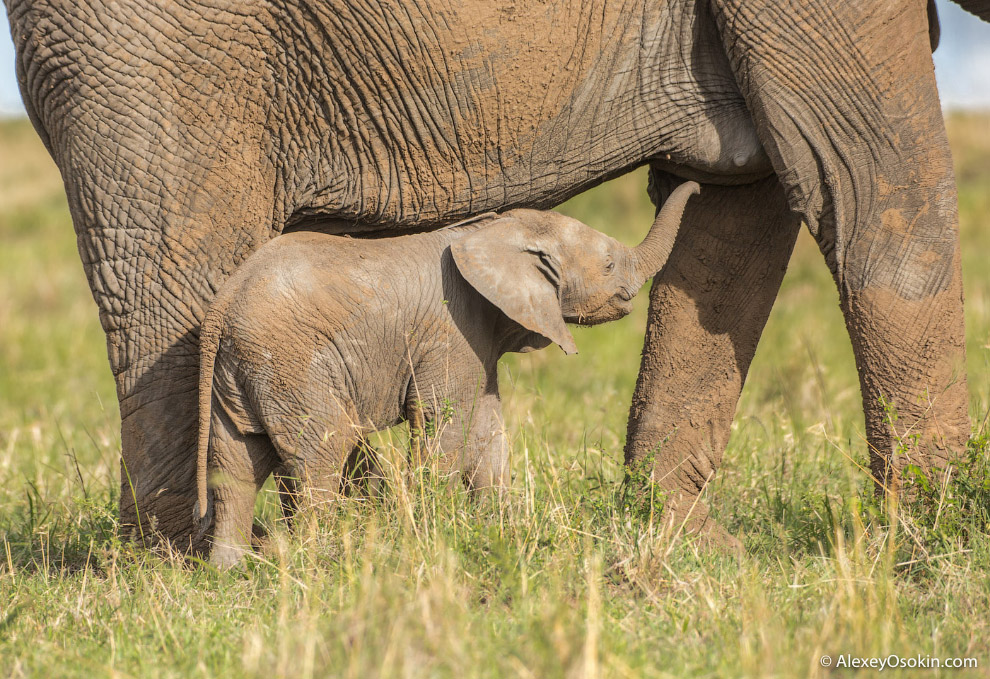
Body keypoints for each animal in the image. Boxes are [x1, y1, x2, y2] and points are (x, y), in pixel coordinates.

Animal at [198, 183, 700, 564]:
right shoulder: (452, 329)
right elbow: (445, 425)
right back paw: (317, 559)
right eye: (610, 265)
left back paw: (228, 571)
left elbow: (486, 432)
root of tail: (220, 309)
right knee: (322, 453)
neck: (494, 231)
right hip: (290, 363)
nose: (691, 184)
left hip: (242, 370)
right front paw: (426, 536)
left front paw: (501, 533)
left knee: (234, 464)